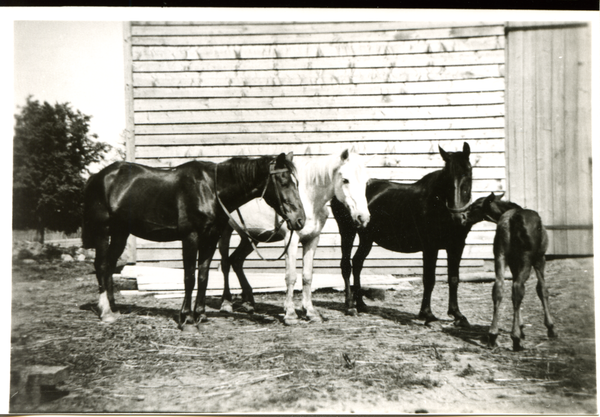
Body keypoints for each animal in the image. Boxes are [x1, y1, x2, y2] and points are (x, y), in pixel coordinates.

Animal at [82, 153, 304, 332]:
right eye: (283, 181)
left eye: (296, 183)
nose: (300, 220)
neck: (211, 189)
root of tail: (98, 176)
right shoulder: (190, 238)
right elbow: (189, 277)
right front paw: (187, 319)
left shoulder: (210, 239)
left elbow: (203, 276)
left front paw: (200, 315)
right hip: (103, 231)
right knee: (102, 266)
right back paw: (106, 312)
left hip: (121, 233)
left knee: (109, 265)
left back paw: (113, 308)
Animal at [219, 150, 370, 324]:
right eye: (345, 180)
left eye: (366, 181)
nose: (363, 217)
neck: (309, 199)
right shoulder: (291, 240)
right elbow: (291, 276)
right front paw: (290, 314)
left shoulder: (312, 239)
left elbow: (307, 276)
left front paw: (310, 312)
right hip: (225, 232)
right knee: (225, 263)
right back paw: (226, 303)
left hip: (250, 237)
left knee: (236, 260)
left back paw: (249, 303)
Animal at [328, 141, 474, 326]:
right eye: (447, 179)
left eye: (468, 174)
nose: (458, 217)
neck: (438, 206)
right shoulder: (430, 247)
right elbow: (429, 279)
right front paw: (427, 314)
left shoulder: (456, 246)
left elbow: (454, 279)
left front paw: (457, 315)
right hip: (347, 232)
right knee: (346, 265)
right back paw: (349, 306)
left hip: (366, 238)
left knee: (357, 263)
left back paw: (361, 304)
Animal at [472, 193, 560, 350]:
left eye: (476, 205)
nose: (465, 214)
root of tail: (513, 219)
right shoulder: (540, 258)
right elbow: (542, 289)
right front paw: (551, 328)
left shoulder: (513, 262)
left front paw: (521, 326)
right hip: (528, 258)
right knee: (518, 288)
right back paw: (515, 338)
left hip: (500, 255)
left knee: (499, 287)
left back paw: (493, 335)